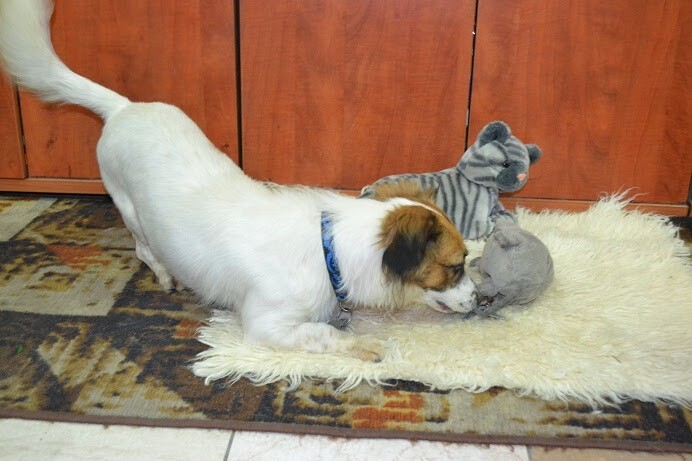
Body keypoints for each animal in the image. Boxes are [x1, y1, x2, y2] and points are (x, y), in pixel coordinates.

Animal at [0, 0, 478, 361]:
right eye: (455, 267)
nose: (482, 301)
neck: (329, 251)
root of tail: (122, 107)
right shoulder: (267, 324)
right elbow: (325, 333)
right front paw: (365, 346)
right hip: (129, 209)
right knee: (142, 248)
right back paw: (164, 274)